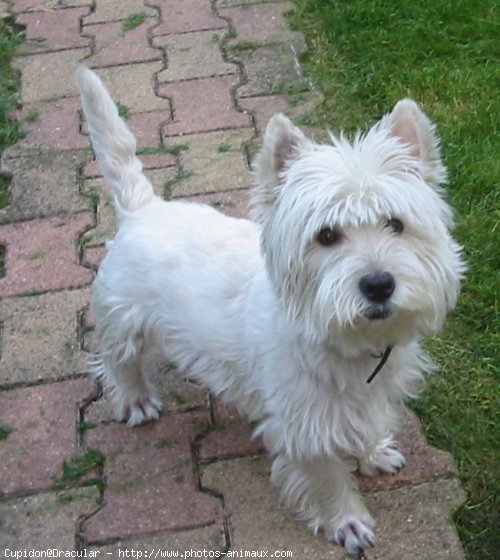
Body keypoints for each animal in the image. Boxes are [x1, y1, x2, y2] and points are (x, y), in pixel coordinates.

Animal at [75, 65, 464, 556]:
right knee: (117, 359)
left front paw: (374, 453)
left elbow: (368, 424)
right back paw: (137, 401)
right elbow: (327, 476)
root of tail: (143, 209)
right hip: (124, 315)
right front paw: (347, 522)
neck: (347, 340)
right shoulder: (304, 423)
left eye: (395, 223)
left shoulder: (371, 394)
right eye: (326, 235)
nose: (378, 285)